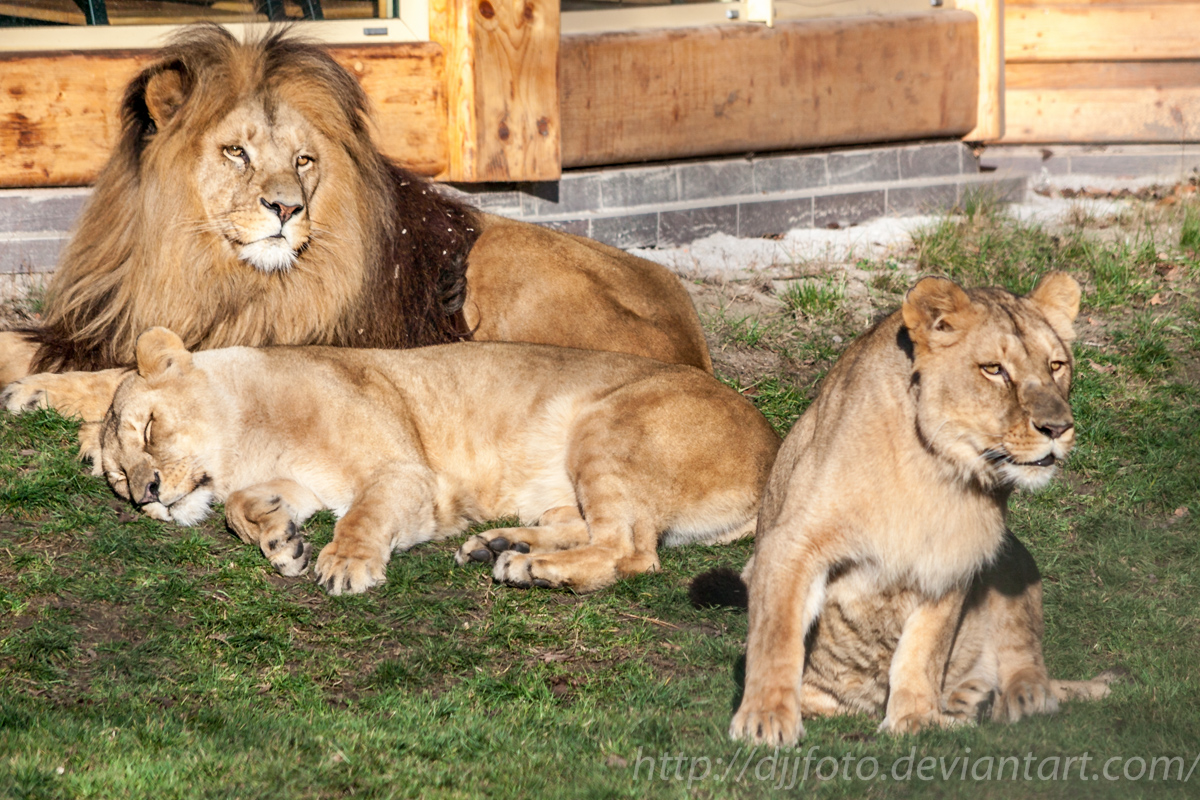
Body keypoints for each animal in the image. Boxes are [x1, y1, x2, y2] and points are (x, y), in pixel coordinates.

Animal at [0, 24, 705, 422]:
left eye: (303, 160)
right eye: (236, 152)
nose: (287, 209)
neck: (203, 272)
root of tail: (696, 350)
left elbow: (127, 375)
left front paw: (41, 393)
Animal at [87, 328, 777, 597]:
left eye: (148, 426)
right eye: (118, 479)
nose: (148, 494)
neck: (250, 437)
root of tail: (773, 450)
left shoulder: (407, 476)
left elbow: (363, 515)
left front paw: (344, 563)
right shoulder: (300, 483)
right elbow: (236, 504)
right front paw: (280, 538)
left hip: (607, 424)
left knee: (631, 550)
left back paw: (528, 568)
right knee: (594, 528)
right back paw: (501, 544)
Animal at [696, 273, 1113, 743]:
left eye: (1056, 366)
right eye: (994, 369)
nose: (1058, 428)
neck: (937, 471)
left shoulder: (953, 560)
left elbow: (924, 649)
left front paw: (915, 718)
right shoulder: (791, 544)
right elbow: (775, 636)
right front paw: (765, 718)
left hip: (1014, 559)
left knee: (1024, 655)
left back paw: (1017, 699)